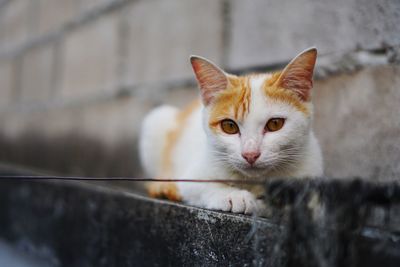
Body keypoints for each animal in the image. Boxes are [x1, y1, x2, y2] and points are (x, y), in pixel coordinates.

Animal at [139, 48, 324, 216]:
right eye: (229, 126)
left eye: (275, 124)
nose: (250, 154)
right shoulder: (192, 176)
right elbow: (201, 186)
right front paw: (234, 196)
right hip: (156, 120)